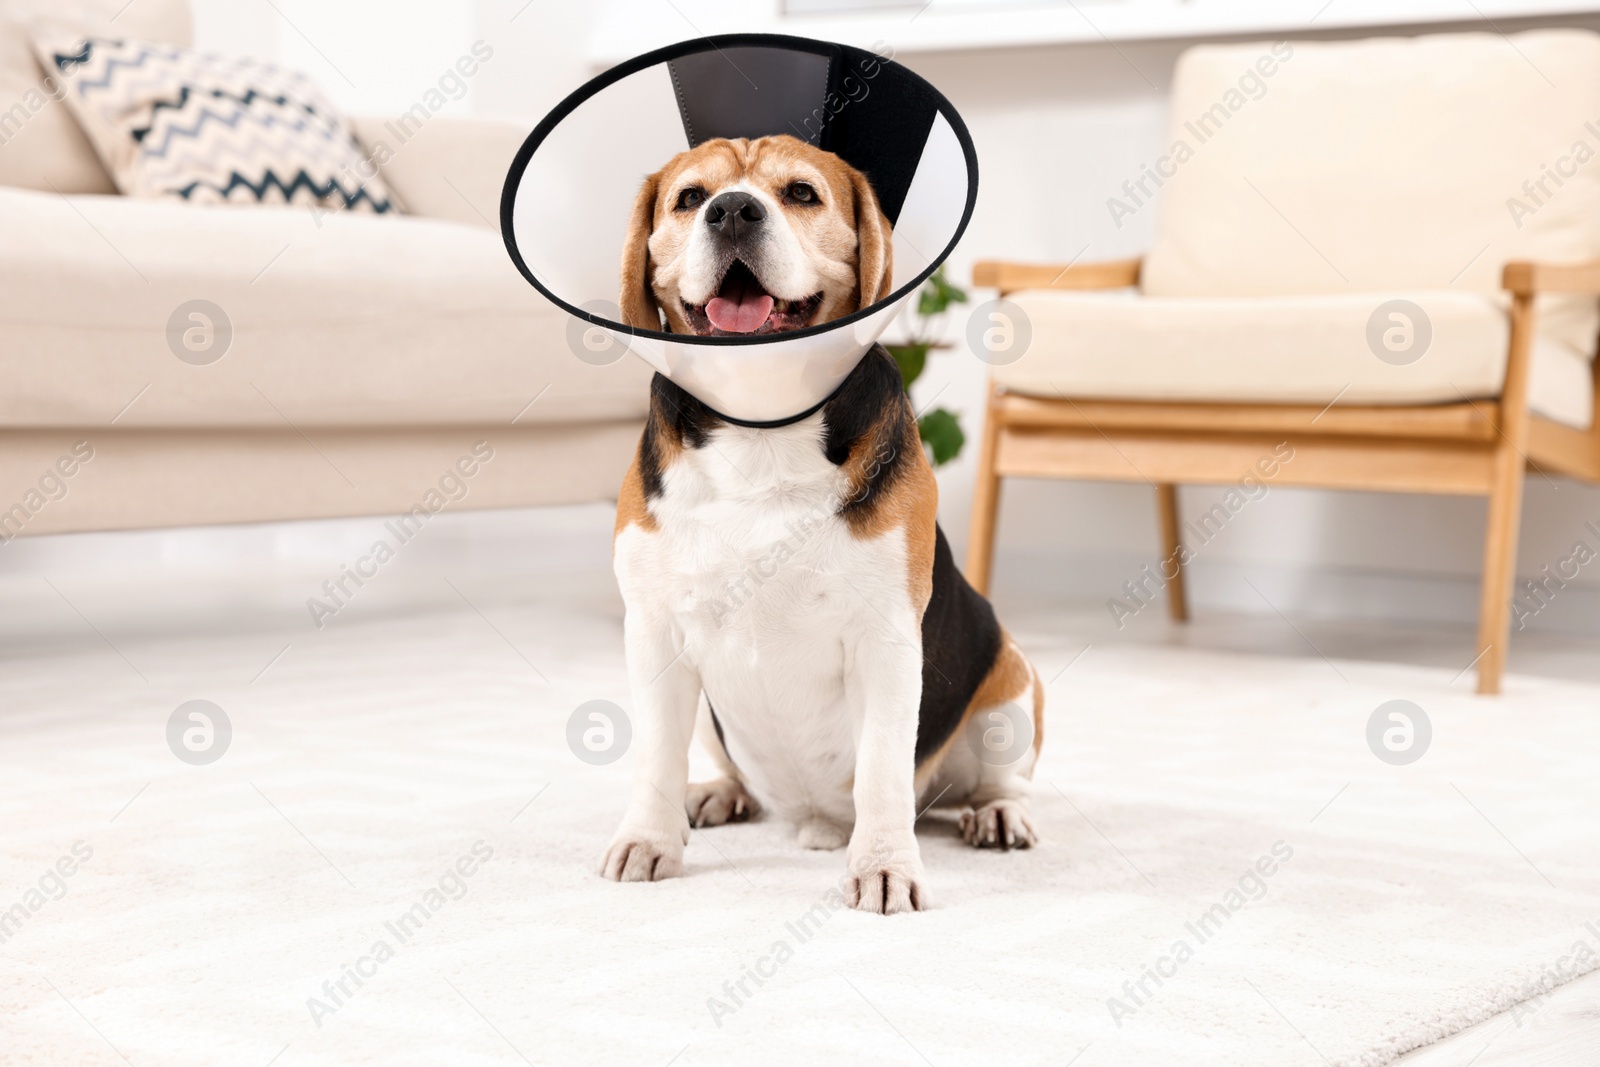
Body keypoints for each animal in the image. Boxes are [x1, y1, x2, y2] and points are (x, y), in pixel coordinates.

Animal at [601, 135, 1036, 921]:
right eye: (689, 197)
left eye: (801, 193)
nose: (732, 210)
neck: (761, 425)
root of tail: (815, 821)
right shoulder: (653, 631)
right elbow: (655, 755)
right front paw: (649, 838)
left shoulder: (886, 639)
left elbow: (883, 771)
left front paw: (886, 865)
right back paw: (720, 794)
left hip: (1011, 683)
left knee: (991, 780)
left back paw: (997, 813)